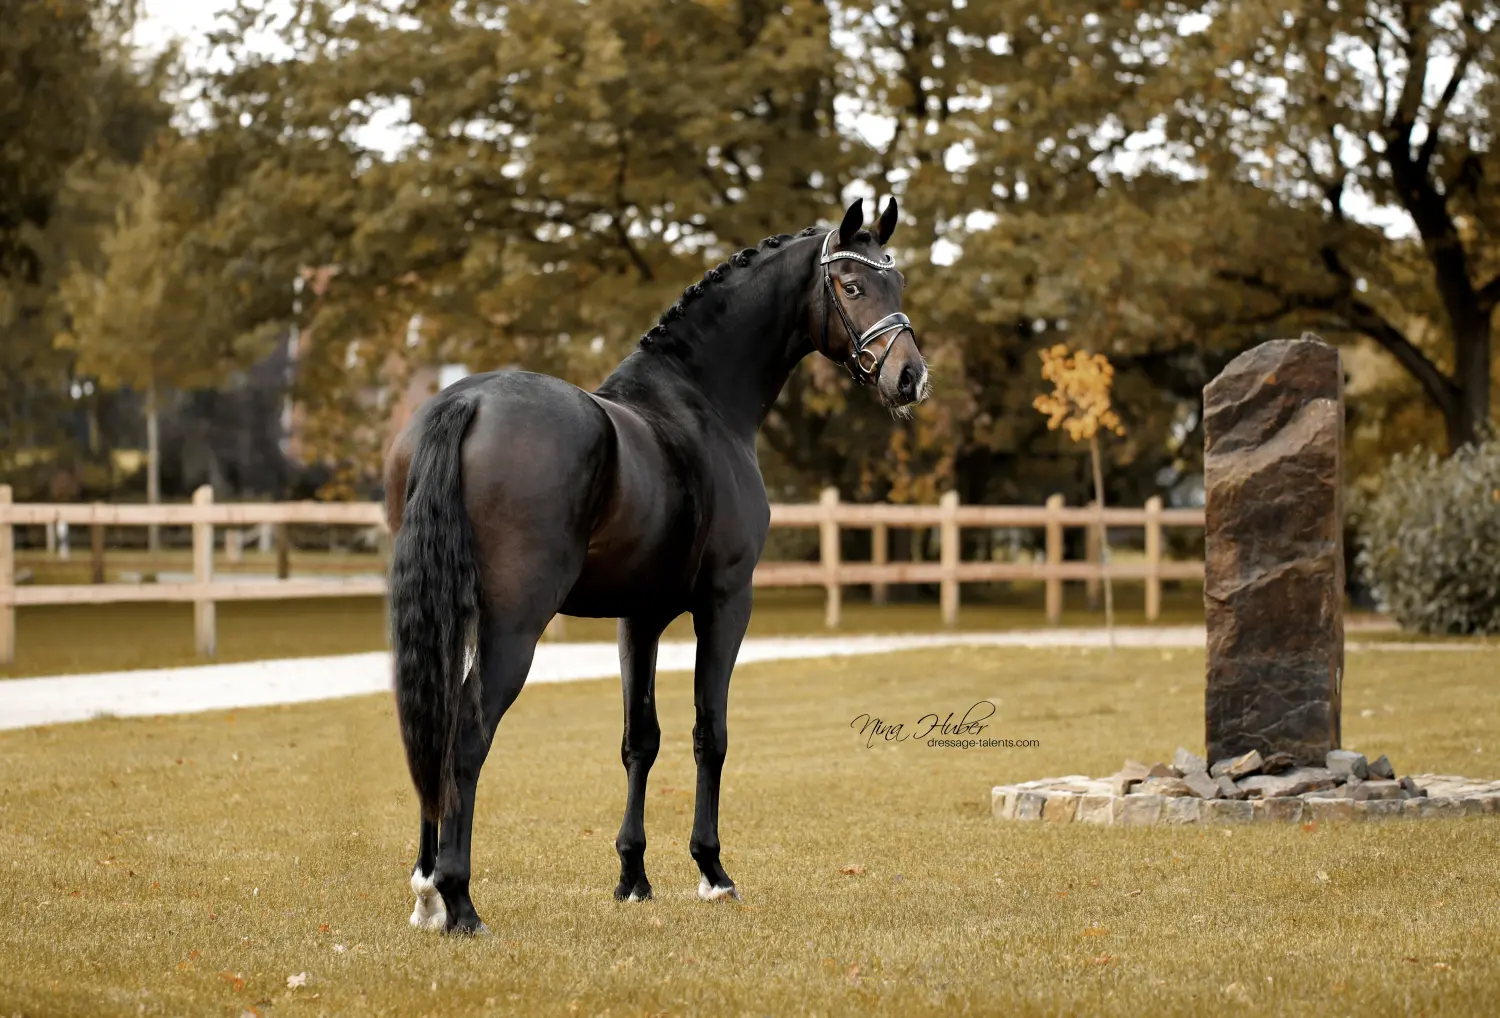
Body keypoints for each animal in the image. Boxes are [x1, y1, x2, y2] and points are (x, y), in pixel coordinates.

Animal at [384, 196, 927, 933]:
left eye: (895, 283)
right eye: (850, 285)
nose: (910, 377)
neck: (697, 402)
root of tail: (465, 402)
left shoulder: (636, 619)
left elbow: (639, 739)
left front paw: (633, 876)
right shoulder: (726, 602)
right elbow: (709, 732)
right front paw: (712, 871)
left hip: (445, 616)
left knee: (432, 722)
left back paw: (425, 888)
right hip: (512, 626)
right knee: (467, 732)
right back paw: (459, 899)